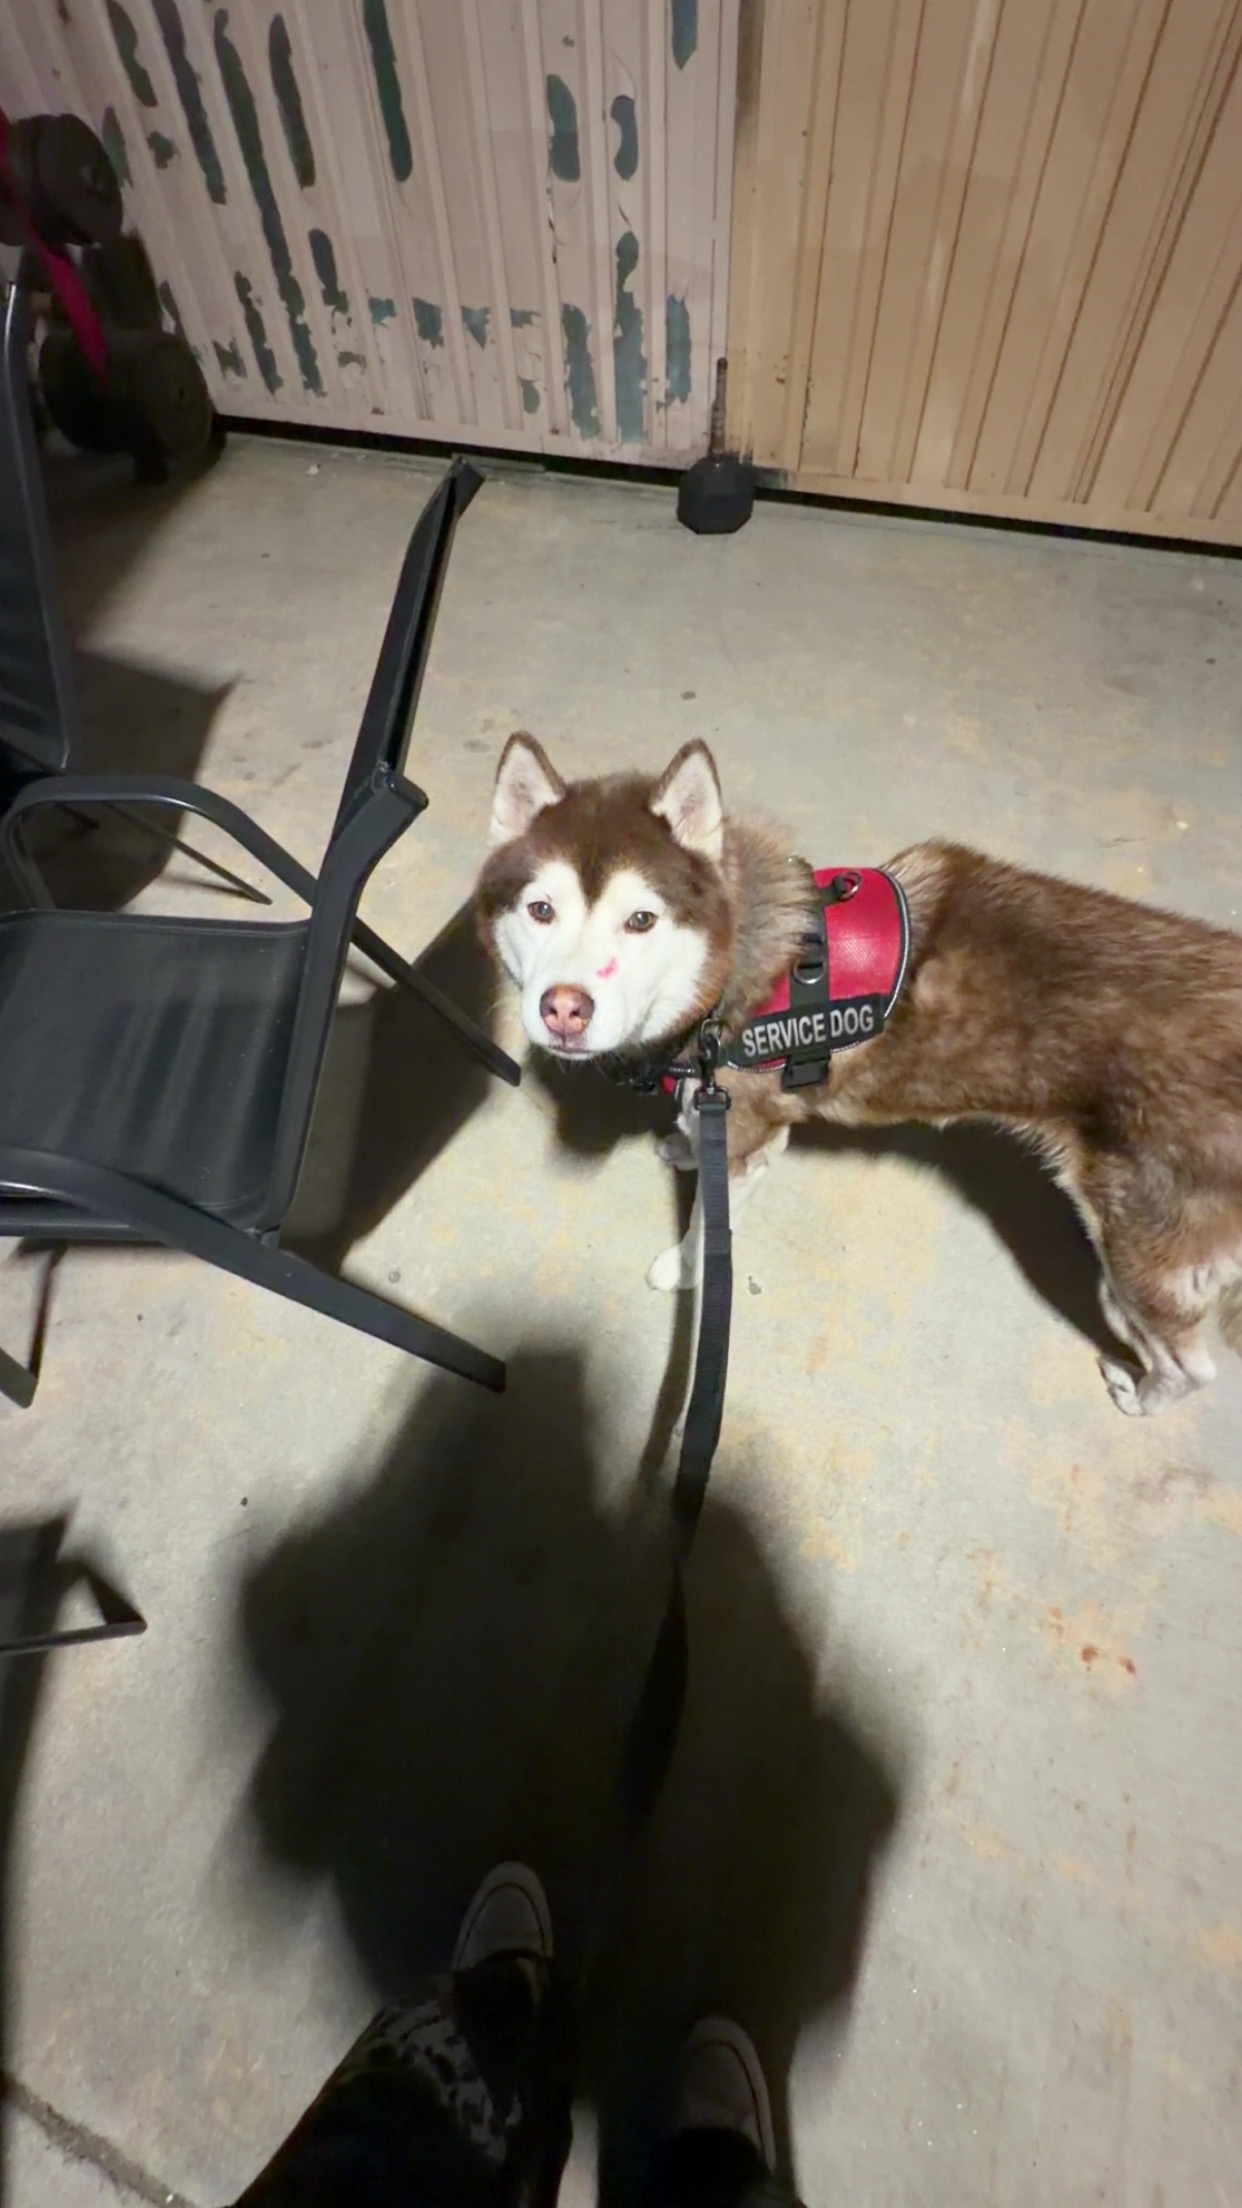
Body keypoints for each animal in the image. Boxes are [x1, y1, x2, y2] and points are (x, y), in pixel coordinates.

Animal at [476, 732, 1242, 1417]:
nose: (565, 1009)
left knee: (1196, 1366)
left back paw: (1142, 1397)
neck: (731, 973)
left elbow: (709, 1227)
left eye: (641, 920)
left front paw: (684, 1267)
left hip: (1142, 1257)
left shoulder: (751, 1140)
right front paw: (687, 1146)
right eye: (540, 910)